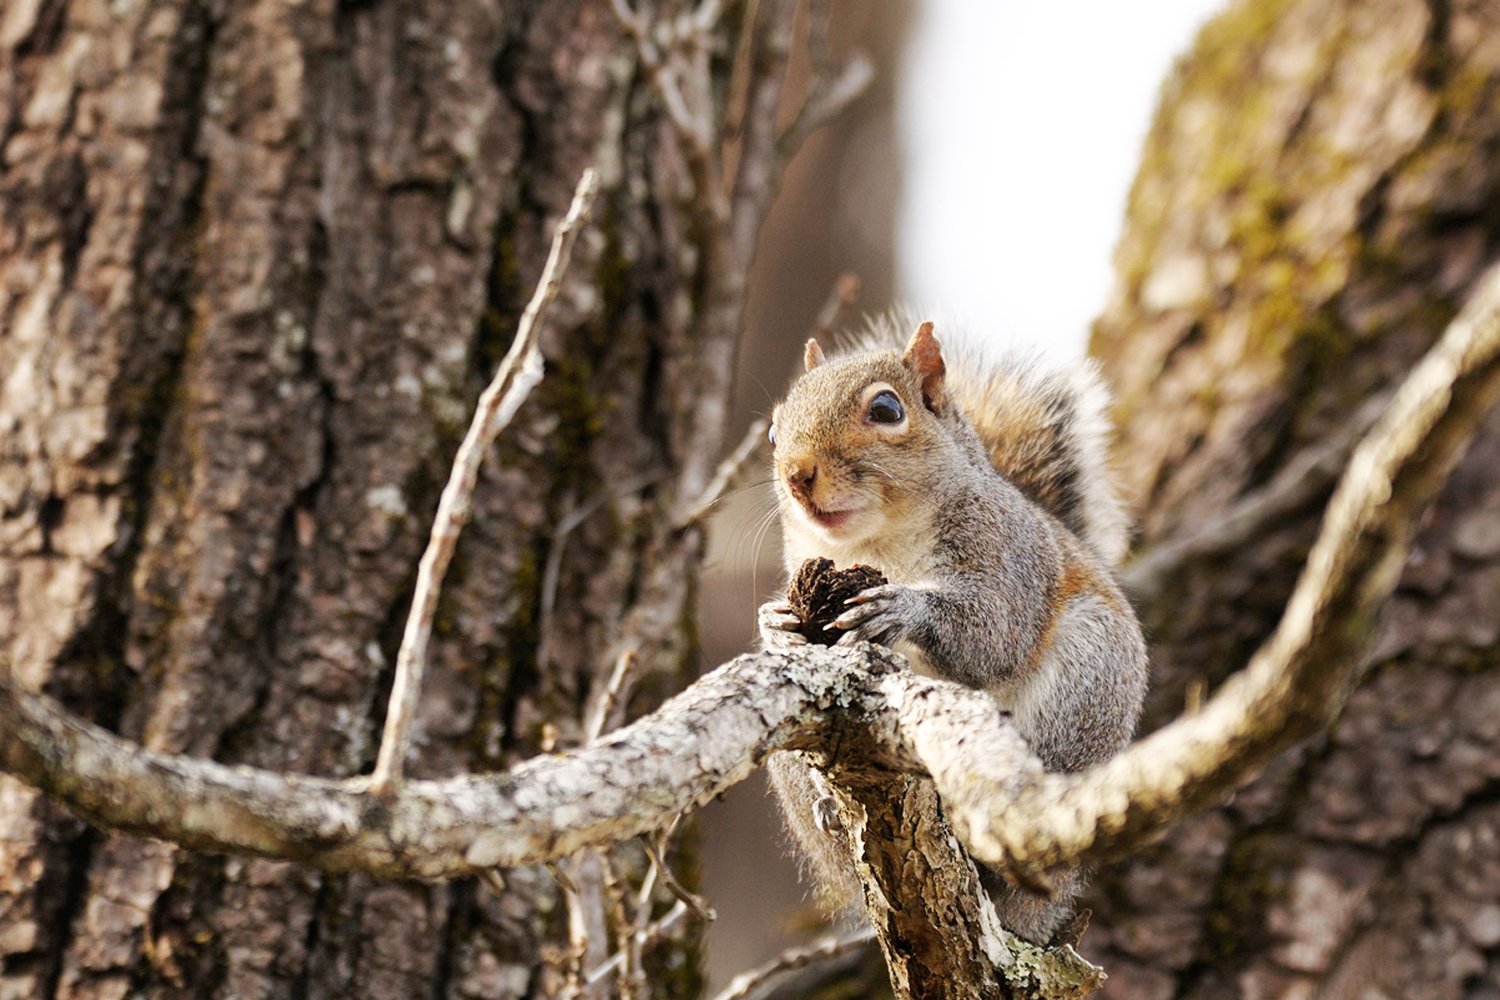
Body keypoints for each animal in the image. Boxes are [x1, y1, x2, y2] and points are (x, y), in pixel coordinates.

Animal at [762, 314, 1146, 947]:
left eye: (887, 409)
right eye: (772, 432)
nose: (797, 475)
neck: (878, 542)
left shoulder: (1007, 554)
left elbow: (994, 635)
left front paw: (900, 610)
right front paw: (775, 624)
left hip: (1085, 686)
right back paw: (829, 809)